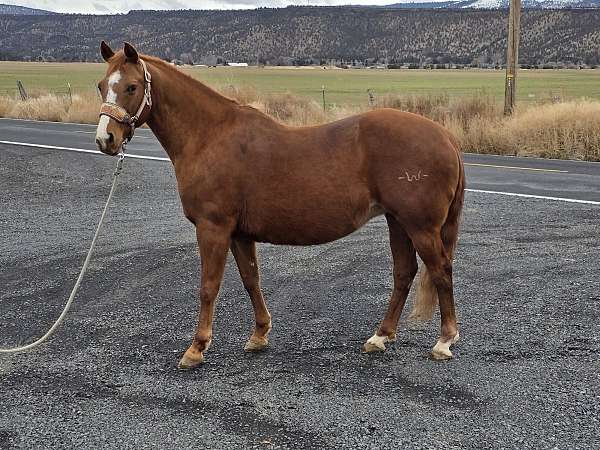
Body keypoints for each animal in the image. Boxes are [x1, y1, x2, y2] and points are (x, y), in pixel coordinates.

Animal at [96, 42, 466, 370]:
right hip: (397, 221)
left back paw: (444, 341)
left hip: (420, 226)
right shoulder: (239, 234)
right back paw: (380, 336)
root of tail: (446, 137)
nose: (105, 139)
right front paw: (259, 334)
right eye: (101, 85)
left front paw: (196, 348)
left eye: (131, 86)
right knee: (404, 272)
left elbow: (208, 287)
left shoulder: (213, 227)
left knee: (441, 270)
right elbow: (251, 280)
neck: (210, 136)